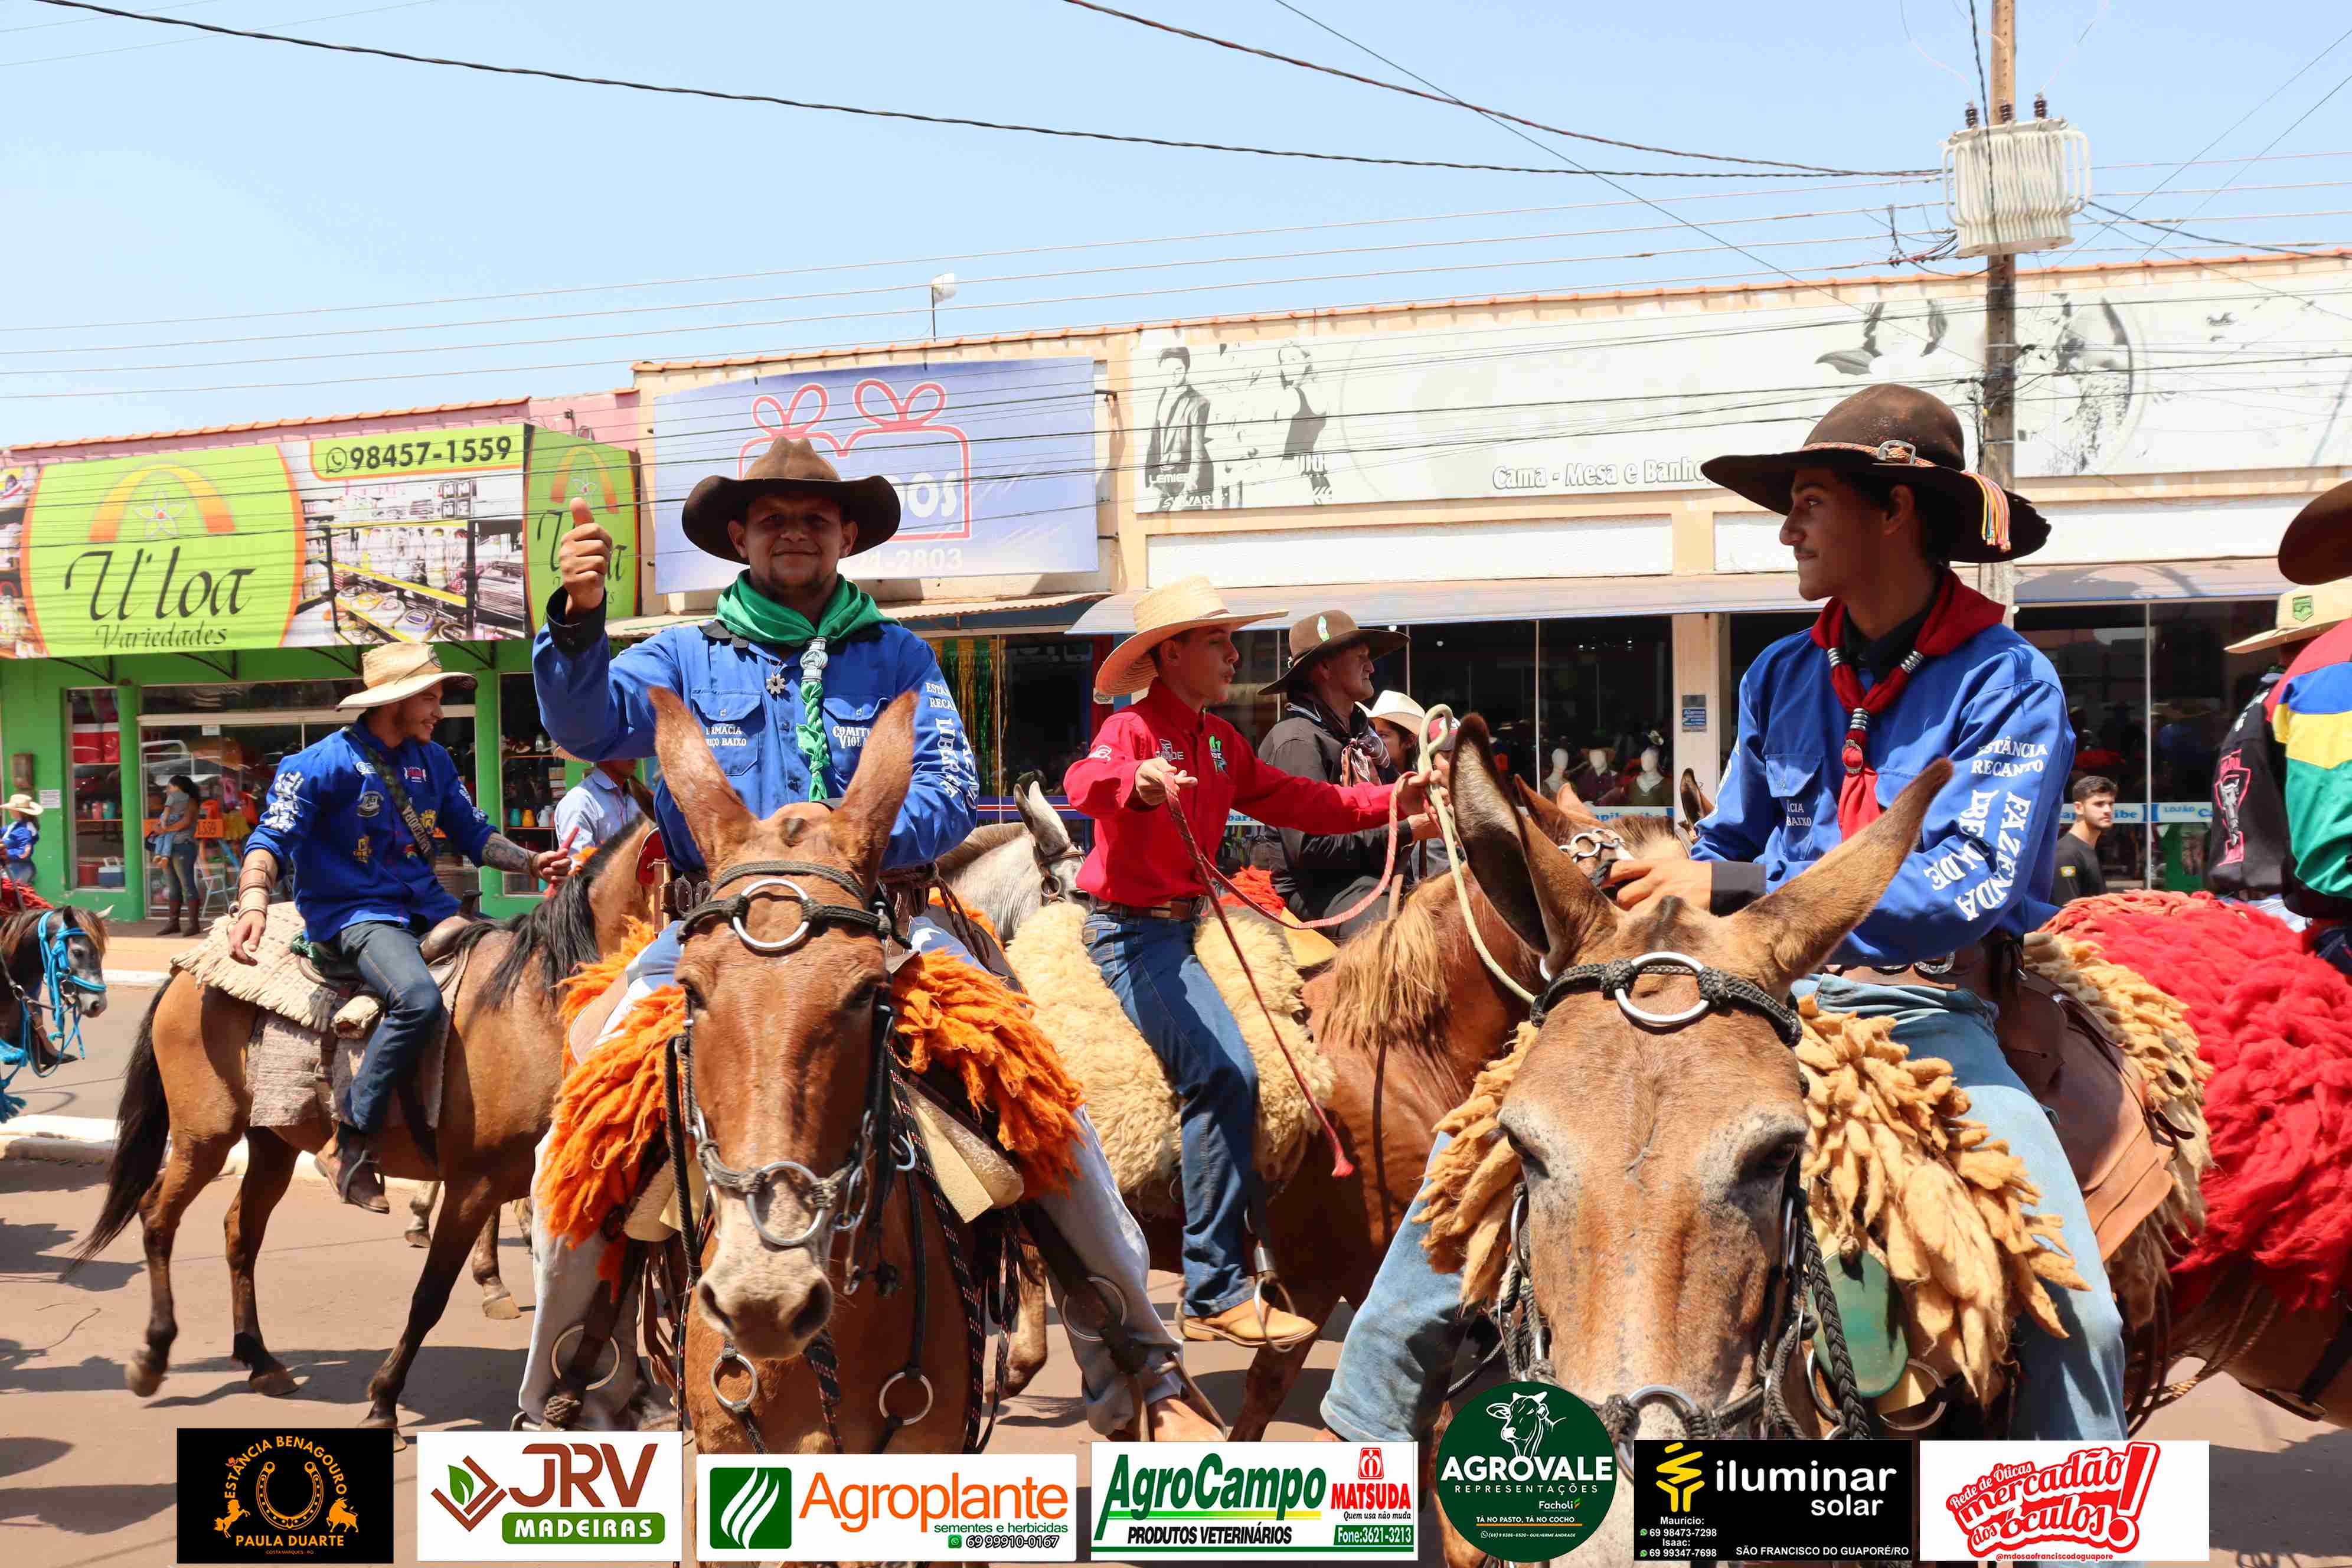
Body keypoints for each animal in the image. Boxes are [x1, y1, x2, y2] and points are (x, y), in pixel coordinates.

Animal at [70, 814, 659, 1439]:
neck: (538, 1006)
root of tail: (188, 972)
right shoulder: (475, 1183)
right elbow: (431, 1295)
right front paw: (384, 1401)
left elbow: (615, 1303)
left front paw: (614, 1397)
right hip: (204, 1136)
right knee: (158, 1216)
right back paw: (154, 1356)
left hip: (272, 1142)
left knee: (240, 1232)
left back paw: (259, 1359)